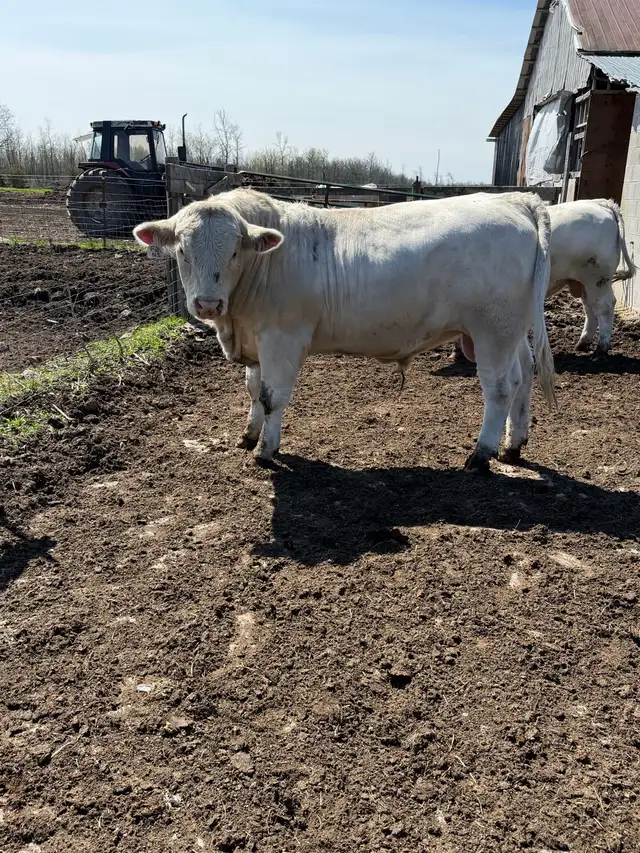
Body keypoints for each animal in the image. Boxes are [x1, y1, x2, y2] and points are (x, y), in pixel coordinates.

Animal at [133, 188, 556, 473]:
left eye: (234, 251)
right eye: (183, 251)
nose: (207, 304)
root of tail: (513, 199)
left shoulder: (282, 338)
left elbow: (272, 397)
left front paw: (266, 450)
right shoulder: (255, 341)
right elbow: (253, 390)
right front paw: (249, 435)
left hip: (492, 329)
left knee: (499, 388)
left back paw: (480, 454)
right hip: (510, 330)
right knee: (522, 375)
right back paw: (513, 444)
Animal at [450, 198, 636, 361]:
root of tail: (601, 203)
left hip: (597, 277)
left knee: (604, 308)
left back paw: (600, 351)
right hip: (584, 282)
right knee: (590, 309)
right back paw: (582, 344)